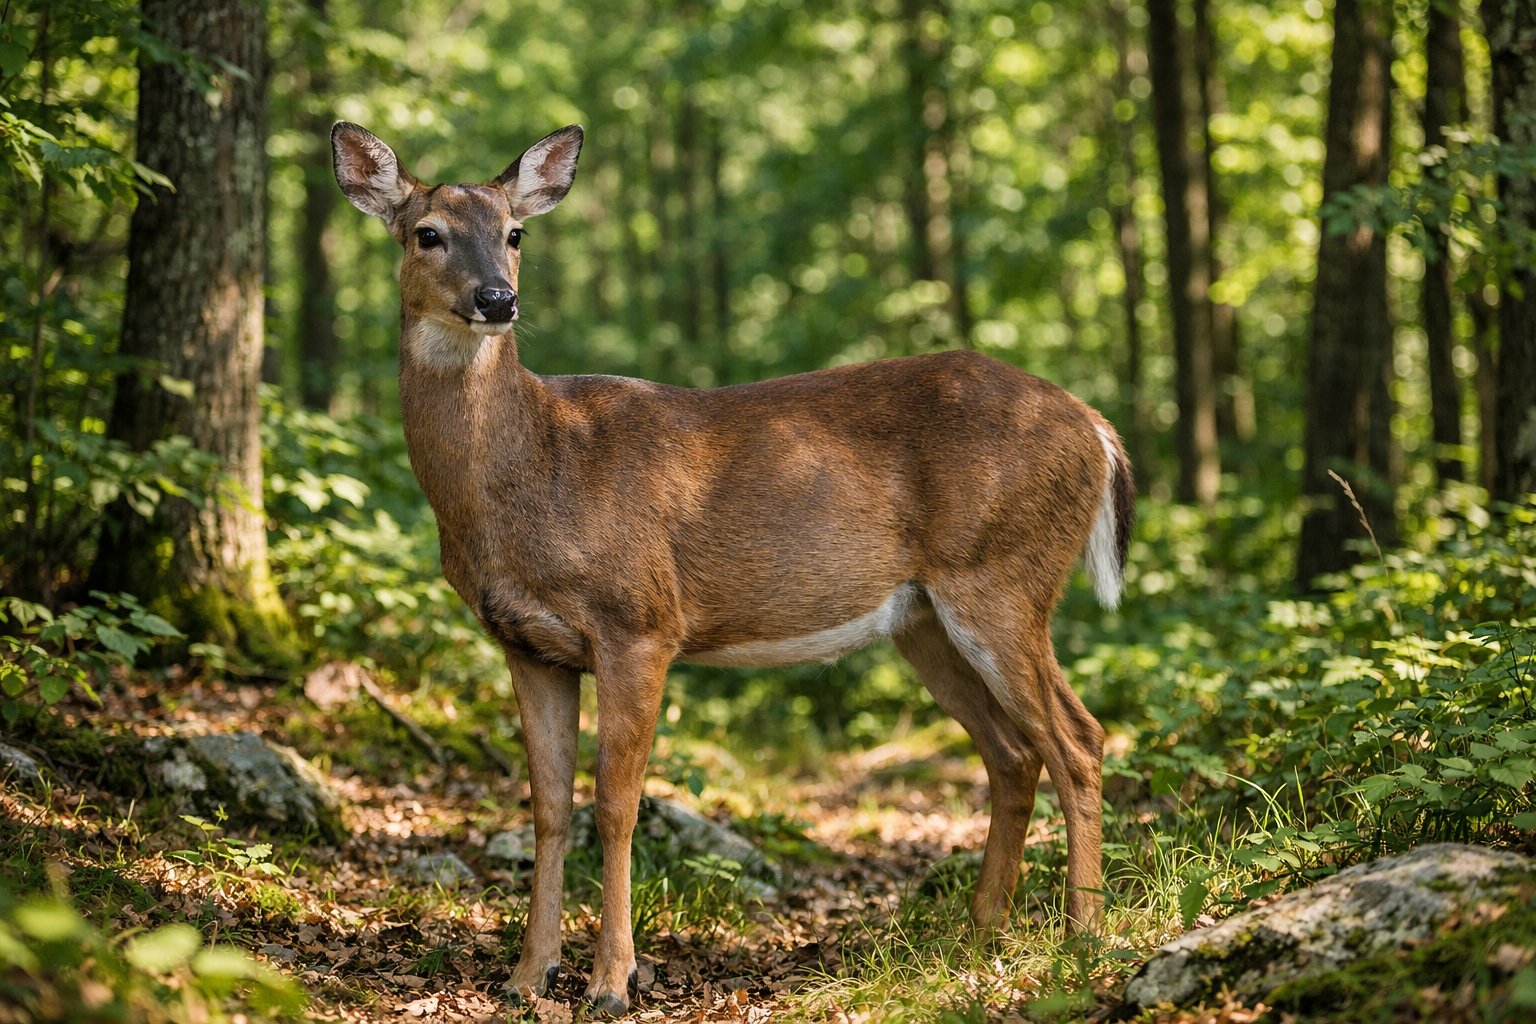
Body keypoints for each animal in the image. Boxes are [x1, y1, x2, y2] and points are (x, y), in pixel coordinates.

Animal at [332, 120, 1134, 1015]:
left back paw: (1082, 938)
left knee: (1078, 739)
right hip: (925, 617)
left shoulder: (639, 621)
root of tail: (1097, 428)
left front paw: (612, 981)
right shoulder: (528, 643)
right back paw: (977, 934)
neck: (535, 468)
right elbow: (547, 809)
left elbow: (617, 805)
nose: (497, 301)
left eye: (515, 234)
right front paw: (527, 974)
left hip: (1004, 575)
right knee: (1013, 752)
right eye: (427, 234)